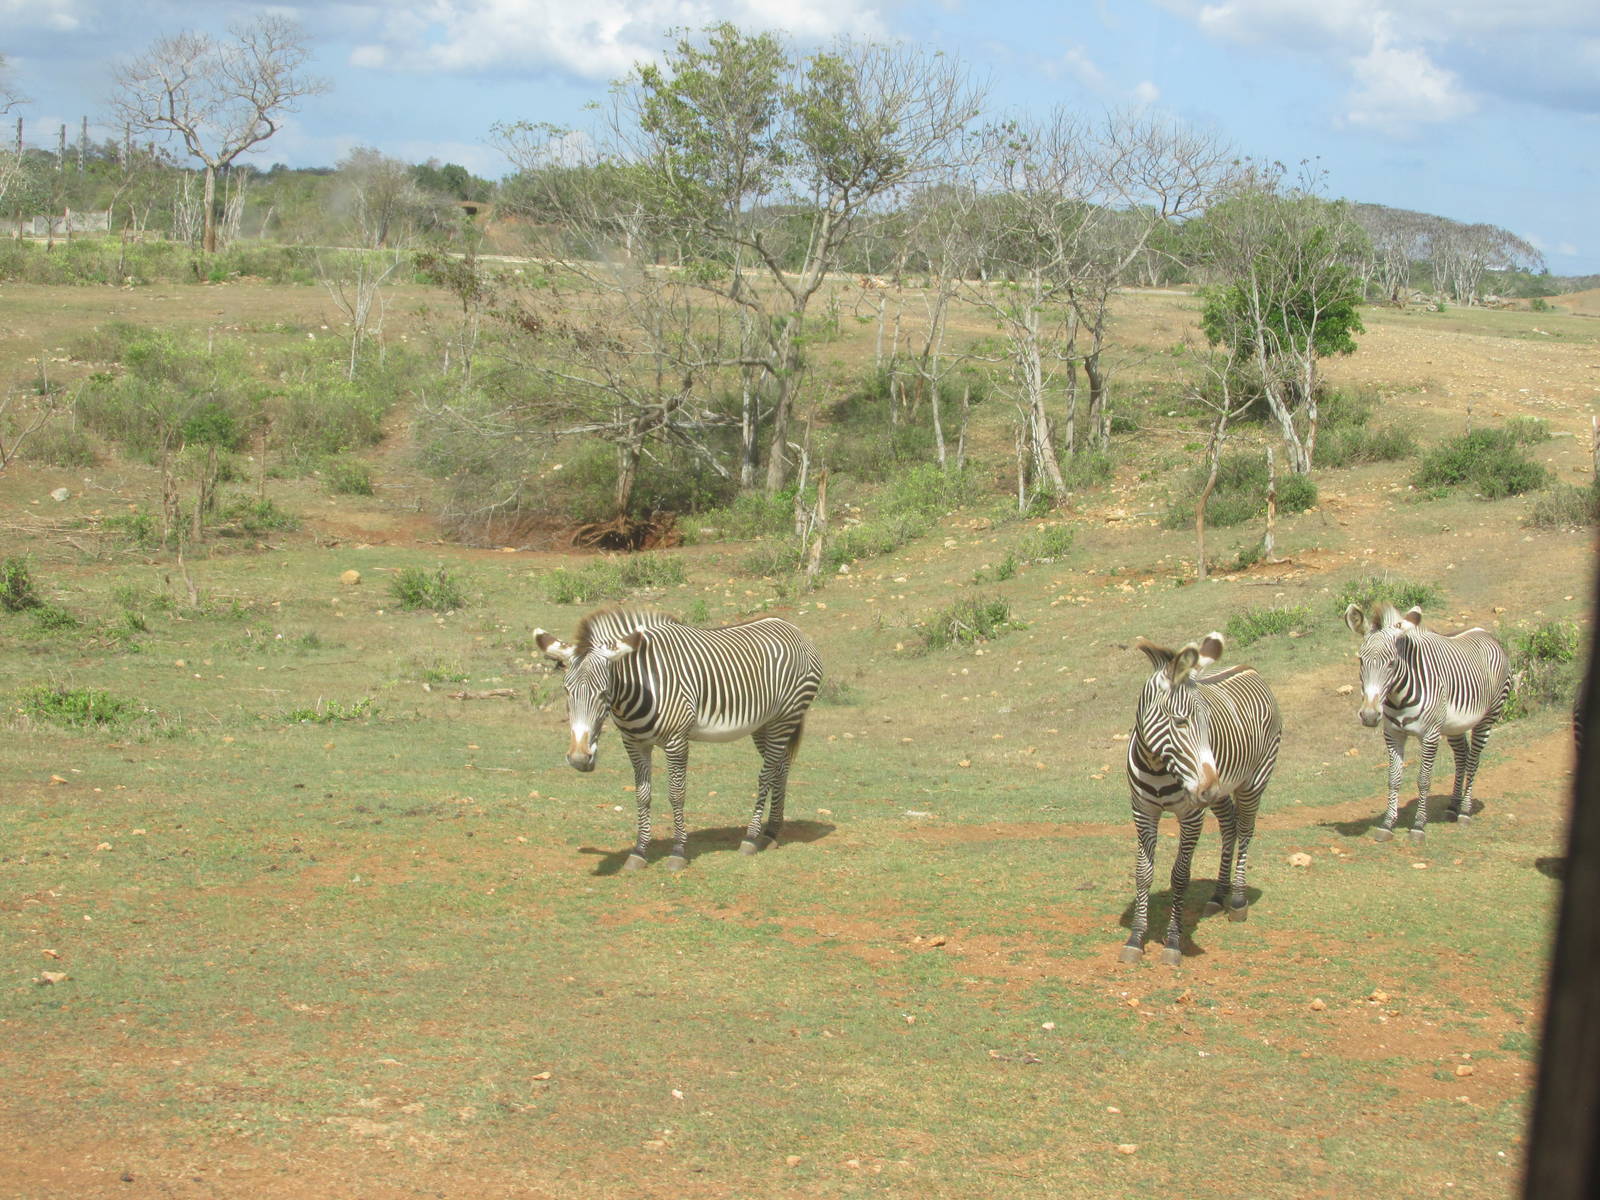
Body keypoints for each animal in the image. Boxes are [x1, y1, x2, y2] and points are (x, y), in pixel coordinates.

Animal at [534, 606, 823, 871]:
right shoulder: (634, 743)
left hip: (786, 716)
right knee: (780, 767)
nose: (579, 759)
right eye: (566, 691)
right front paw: (639, 851)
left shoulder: (676, 741)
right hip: (765, 723)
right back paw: (772, 832)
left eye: (604, 693)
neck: (641, 686)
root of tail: (793, 628)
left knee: (766, 774)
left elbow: (676, 794)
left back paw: (751, 838)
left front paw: (678, 851)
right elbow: (642, 794)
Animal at [1122, 632, 1282, 965]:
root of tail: (1250, 669)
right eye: (1181, 722)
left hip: (1254, 780)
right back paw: (1219, 895)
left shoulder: (1192, 815)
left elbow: (1180, 876)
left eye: (1209, 722)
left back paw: (1237, 900)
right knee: (1230, 827)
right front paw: (1135, 938)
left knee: (1245, 830)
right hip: (1220, 795)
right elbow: (1143, 873)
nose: (1209, 787)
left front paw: (1173, 941)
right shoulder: (1143, 810)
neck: (1157, 766)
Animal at [1344, 603, 1510, 845]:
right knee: (1462, 756)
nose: (1369, 715)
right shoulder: (1393, 734)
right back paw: (1452, 807)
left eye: (1392, 663)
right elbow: (1393, 778)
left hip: (1488, 716)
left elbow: (1423, 780)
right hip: (1453, 725)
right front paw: (1387, 824)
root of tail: (1485, 633)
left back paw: (1465, 811)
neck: (1398, 696)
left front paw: (1418, 826)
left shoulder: (1430, 735)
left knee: (1474, 760)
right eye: (1361, 661)